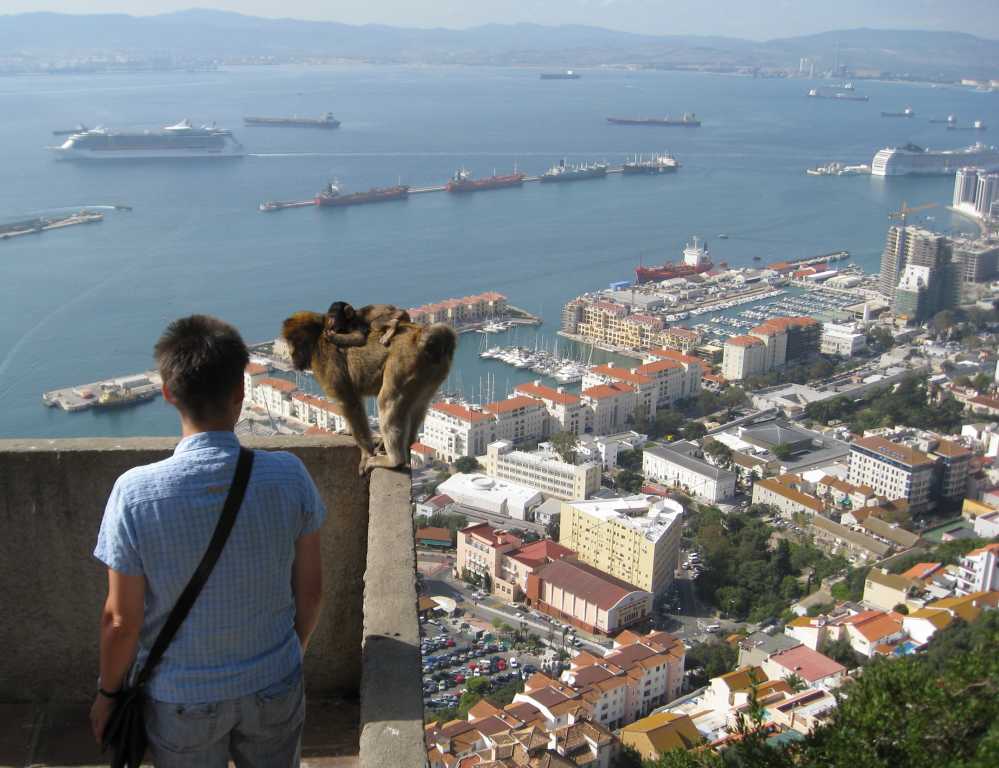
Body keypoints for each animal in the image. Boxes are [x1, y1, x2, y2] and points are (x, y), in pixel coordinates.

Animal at [280, 306, 456, 474]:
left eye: (292, 341)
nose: (290, 353)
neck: (317, 339)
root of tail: (421, 337)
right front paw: (349, 431)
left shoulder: (325, 360)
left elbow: (348, 402)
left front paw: (366, 452)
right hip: (431, 374)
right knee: (419, 405)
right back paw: (405, 444)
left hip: (405, 362)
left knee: (387, 401)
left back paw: (394, 461)